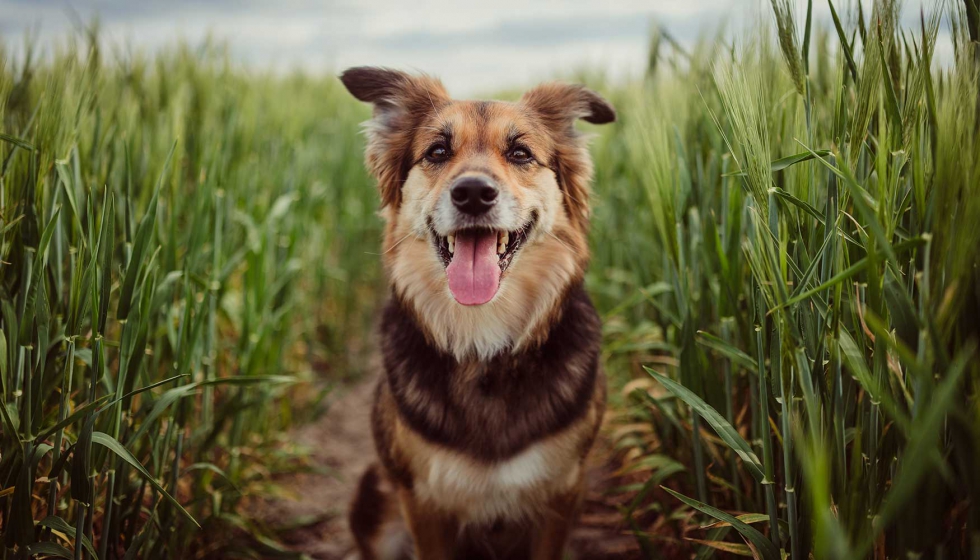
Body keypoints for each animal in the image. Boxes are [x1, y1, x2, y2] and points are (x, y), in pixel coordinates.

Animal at [336, 66, 612, 560]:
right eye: (438, 151)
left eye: (520, 153)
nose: (473, 193)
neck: (483, 341)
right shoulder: (423, 500)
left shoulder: (562, 492)